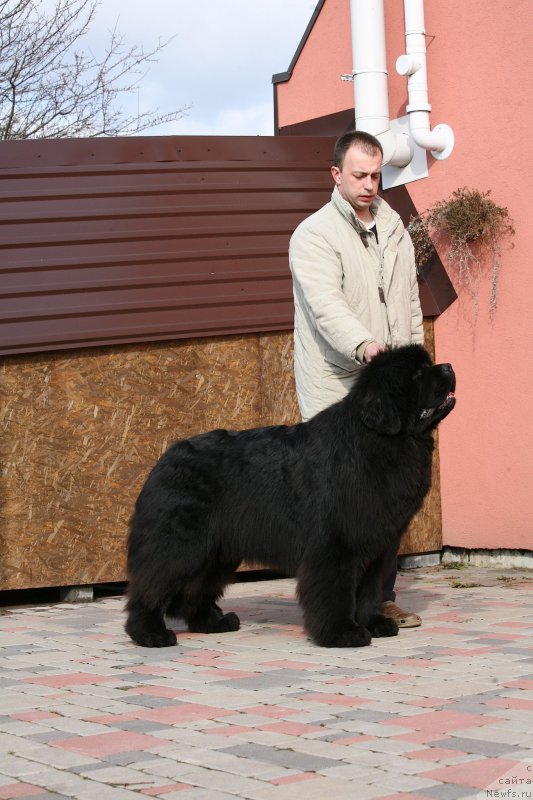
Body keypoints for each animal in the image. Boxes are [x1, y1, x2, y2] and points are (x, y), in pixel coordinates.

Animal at [124, 346, 454, 648]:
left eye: (428, 364)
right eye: (417, 374)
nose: (449, 366)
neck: (379, 439)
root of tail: (166, 457)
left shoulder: (375, 543)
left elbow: (368, 591)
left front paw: (373, 623)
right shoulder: (335, 544)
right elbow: (335, 591)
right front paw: (342, 633)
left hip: (217, 551)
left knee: (195, 591)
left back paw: (213, 622)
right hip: (179, 545)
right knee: (152, 585)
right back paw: (149, 634)